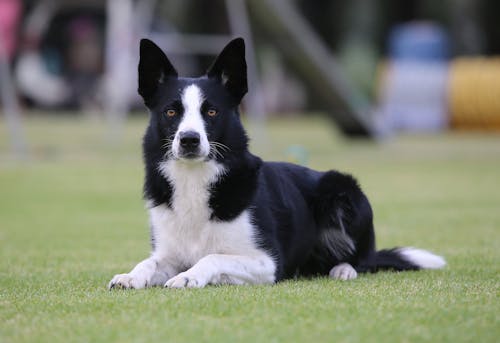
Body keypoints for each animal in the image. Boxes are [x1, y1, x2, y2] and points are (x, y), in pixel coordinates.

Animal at [108, 38, 446, 290]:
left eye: (212, 111)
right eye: (170, 112)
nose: (189, 140)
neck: (195, 182)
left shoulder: (267, 262)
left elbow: (213, 257)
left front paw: (189, 276)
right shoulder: (168, 253)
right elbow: (149, 261)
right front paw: (130, 276)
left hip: (343, 189)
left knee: (362, 260)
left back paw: (344, 269)